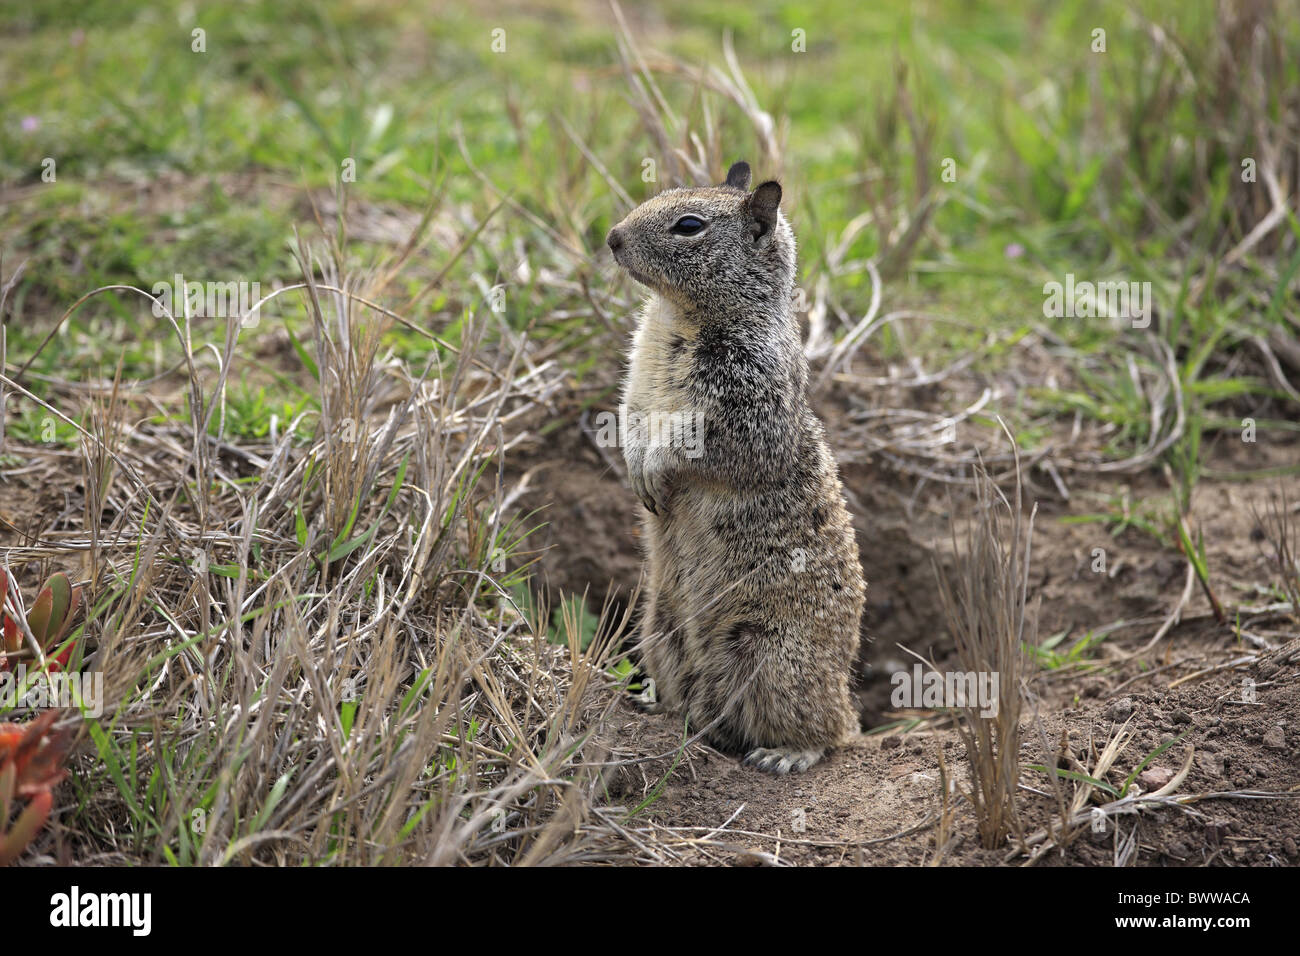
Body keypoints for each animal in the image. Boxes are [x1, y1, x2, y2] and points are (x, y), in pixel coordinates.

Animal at [605, 162, 863, 780]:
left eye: (689, 225)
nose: (612, 237)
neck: (677, 313)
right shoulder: (636, 386)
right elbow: (629, 418)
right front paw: (635, 468)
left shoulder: (747, 398)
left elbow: (700, 443)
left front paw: (655, 466)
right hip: (660, 627)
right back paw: (656, 705)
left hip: (775, 659)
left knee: (829, 732)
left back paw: (787, 753)